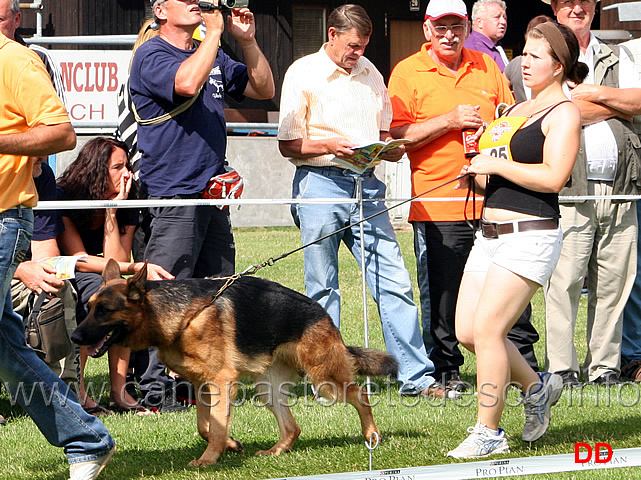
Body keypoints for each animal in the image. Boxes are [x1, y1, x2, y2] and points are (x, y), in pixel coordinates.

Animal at [72, 260, 398, 466]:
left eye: (104, 311)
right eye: (89, 307)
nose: (75, 337)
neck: (179, 315)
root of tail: (323, 313)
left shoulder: (221, 381)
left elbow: (214, 427)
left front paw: (208, 460)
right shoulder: (202, 385)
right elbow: (207, 427)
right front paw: (230, 445)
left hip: (325, 380)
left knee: (360, 394)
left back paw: (371, 434)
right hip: (268, 389)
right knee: (292, 427)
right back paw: (276, 451)